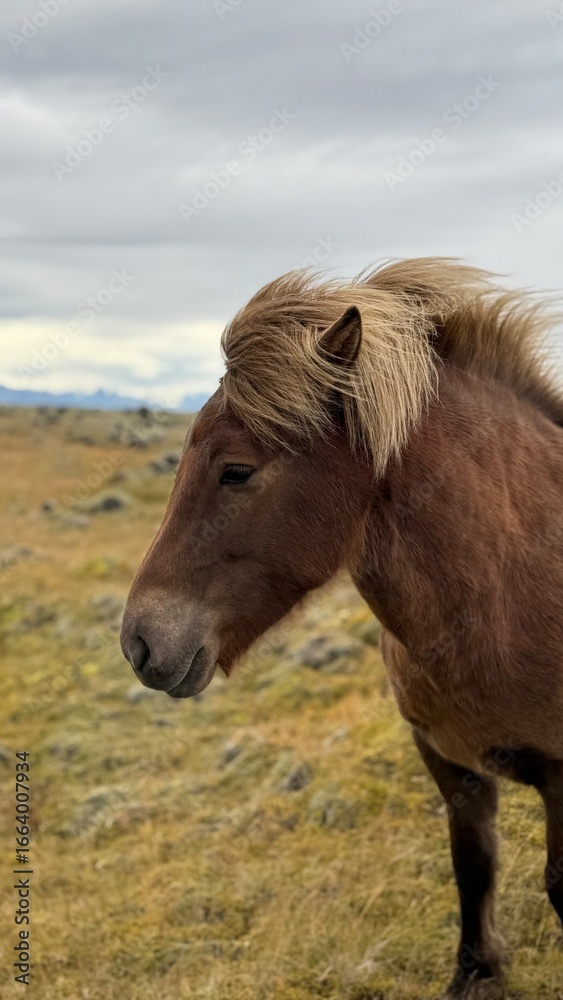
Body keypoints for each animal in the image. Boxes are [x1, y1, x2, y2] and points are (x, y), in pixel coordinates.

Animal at [121, 257, 563, 999]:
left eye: (236, 471)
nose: (138, 641)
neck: (510, 582)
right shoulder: (448, 762)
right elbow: (472, 867)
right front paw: (476, 972)